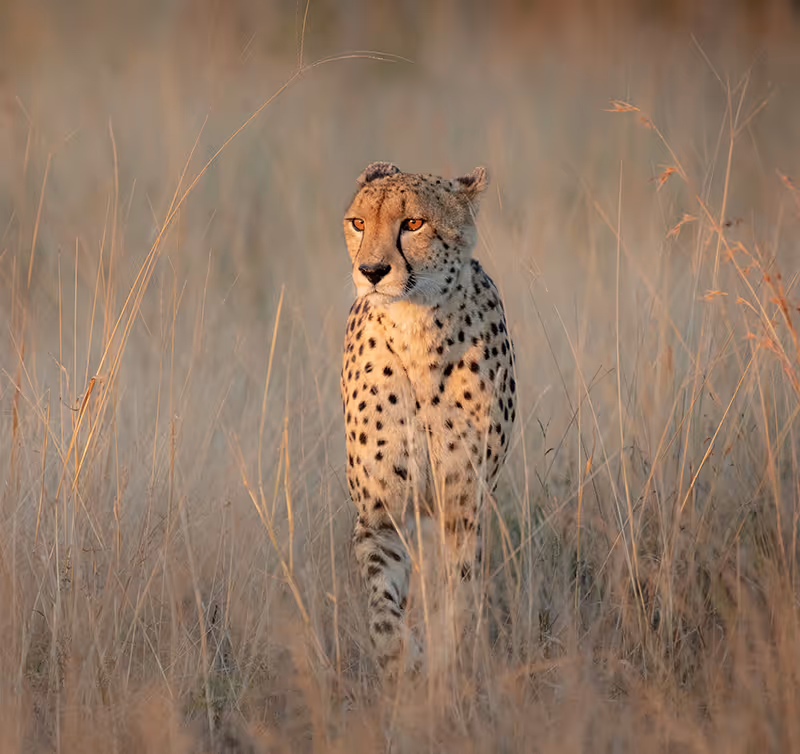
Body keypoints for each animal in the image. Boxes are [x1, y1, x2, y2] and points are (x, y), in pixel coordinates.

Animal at [340, 161, 516, 676]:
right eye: (359, 223)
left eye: (413, 224)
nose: (372, 271)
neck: (417, 329)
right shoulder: (380, 514)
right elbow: (383, 608)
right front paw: (403, 660)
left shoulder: (463, 505)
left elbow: (458, 593)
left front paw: (447, 658)